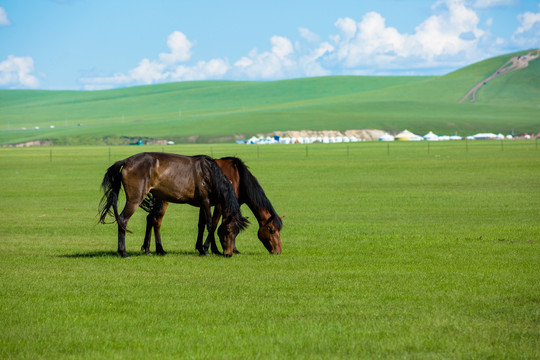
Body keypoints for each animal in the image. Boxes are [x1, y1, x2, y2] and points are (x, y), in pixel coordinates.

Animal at [98, 153, 248, 258]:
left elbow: (204, 224)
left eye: (236, 233)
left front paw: (203, 248)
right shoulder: (205, 202)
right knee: (123, 220)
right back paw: (123, 252)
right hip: (134, 200)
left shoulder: (204, 204)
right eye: (228, 232)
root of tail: (126, 161)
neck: (209, 173)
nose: (228, 254)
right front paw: (208, 250)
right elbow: (211, 225)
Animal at [139, 156, 282, 255]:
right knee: (156, 221)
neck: (238, 177)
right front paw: (210, 248)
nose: (278, 251)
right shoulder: (219, 204)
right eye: (272, 230)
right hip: (164, 202)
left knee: (150, 218)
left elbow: (203, 225)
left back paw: (147, 248)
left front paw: (205, 247)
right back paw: (159, 249)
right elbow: (214, 224)